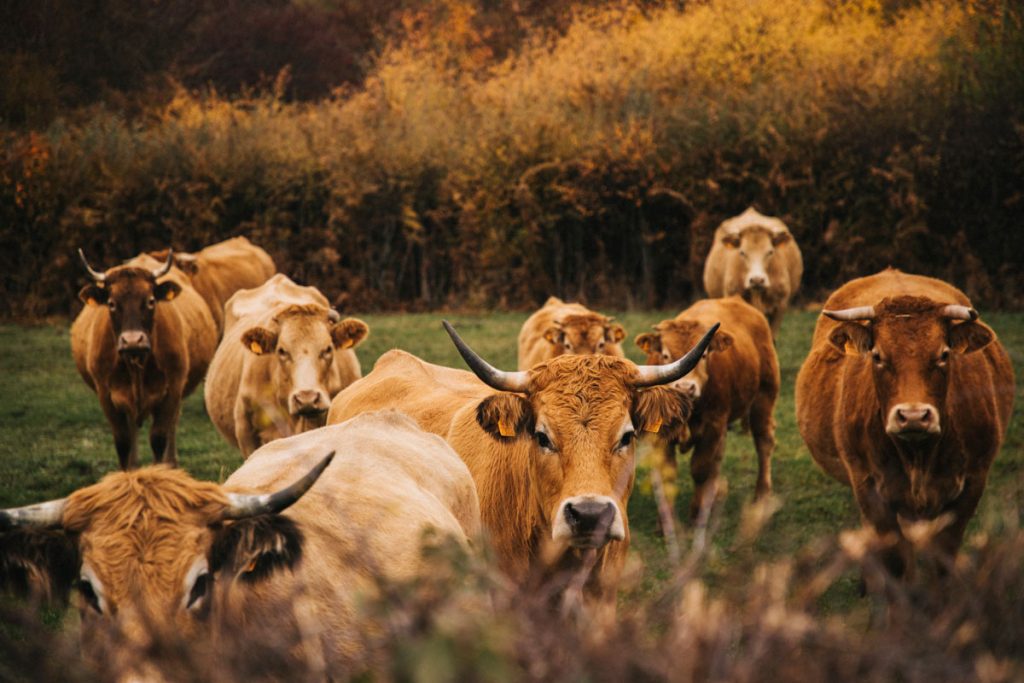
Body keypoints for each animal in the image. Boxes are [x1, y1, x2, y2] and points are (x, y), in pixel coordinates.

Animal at [71, 250, 218, 469]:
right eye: (112, 303)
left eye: (150, 301)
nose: (133, 341)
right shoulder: (105, 395)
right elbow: (123, 441)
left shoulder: (172, 390)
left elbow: (159, 438)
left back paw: (171, 464)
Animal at [635, 296, 779, 520]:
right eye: (665, 355)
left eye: (704, 356)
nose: (686, 387)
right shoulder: (661, 435)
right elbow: (669, 473)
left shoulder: (713, 425)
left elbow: (700, 468)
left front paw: (696, 512)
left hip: (764, 397)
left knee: (764, 442)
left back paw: (762, 496)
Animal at [795, 268, 1014, 580]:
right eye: (877, 356)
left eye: (944, 354)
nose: (913, 416)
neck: (918, 457)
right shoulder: (871, 490)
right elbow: (895, 563)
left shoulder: (972, 484)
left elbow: (941, 562)